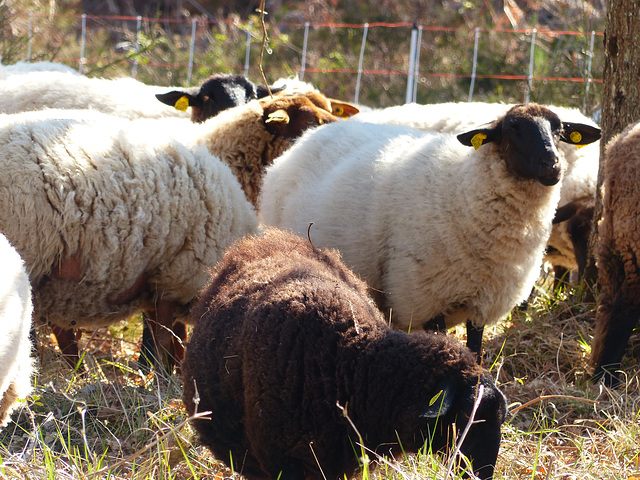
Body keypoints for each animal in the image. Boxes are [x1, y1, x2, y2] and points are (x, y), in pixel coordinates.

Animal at [258, 103, 600, 362]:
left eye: (559, 131)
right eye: (514, 129)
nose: (552, 165)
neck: (462, 188)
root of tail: (311, 136)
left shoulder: (483, 303)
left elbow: (476, 352)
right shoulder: (426, 297)